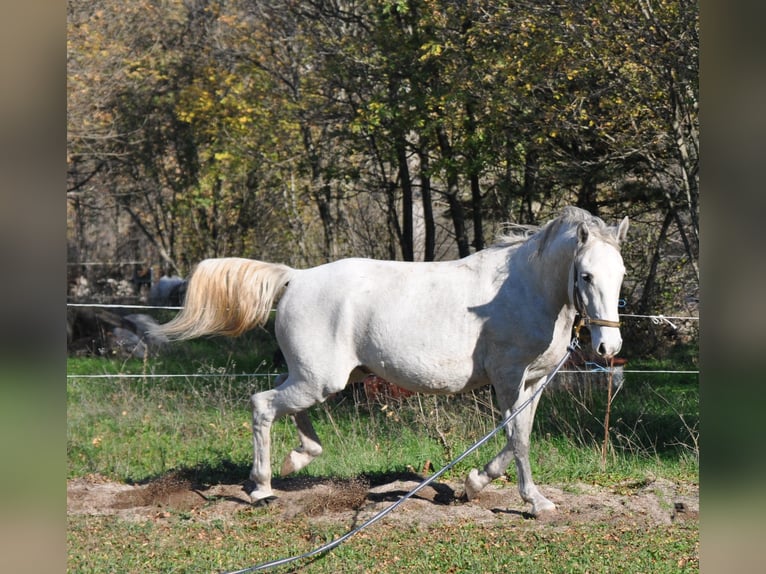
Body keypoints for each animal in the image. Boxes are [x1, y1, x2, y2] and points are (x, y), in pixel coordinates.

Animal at [156, 207, 632, 516]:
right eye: (586, 275)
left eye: (621, 274)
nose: (608, 347)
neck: (524, 290)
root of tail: (297, 277)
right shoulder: (508, 379)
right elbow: (518, 439)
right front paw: (534, 501)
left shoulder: (532, 383)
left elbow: (520, 436)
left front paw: (473, 485)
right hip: (319, 379)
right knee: (262, 404)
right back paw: (262, 489)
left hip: (315, 377)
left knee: (284, 407)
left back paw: (297, 459)